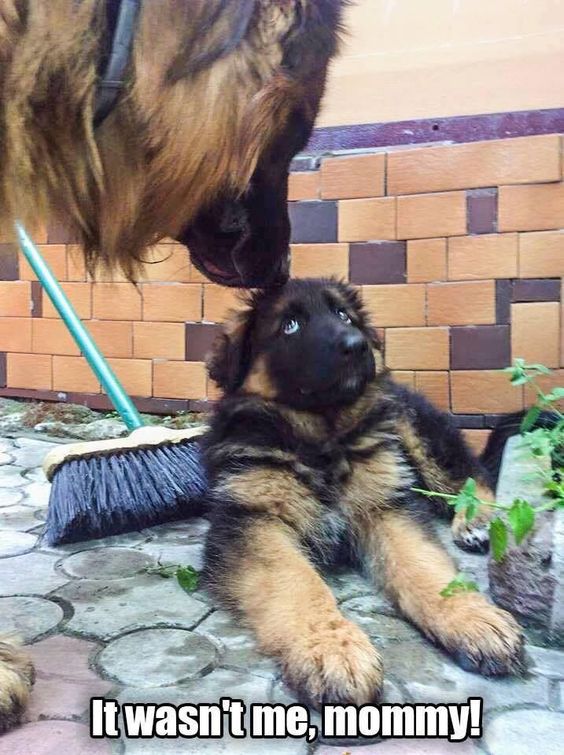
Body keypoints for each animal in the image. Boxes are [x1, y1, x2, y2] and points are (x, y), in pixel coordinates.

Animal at [203, 278, 524, 708]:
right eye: (289, 326)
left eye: (344, 315)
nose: (358, 346)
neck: (321, 438)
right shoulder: (253, 520)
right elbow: (298, 582)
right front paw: (333, 650)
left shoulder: (385, 506)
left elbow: (423, 566)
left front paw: (472, 618)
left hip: (415, 431)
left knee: (473, 476)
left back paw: (478, 521)